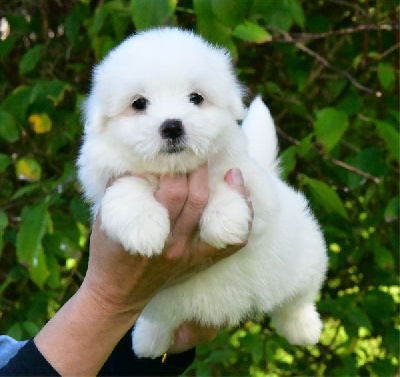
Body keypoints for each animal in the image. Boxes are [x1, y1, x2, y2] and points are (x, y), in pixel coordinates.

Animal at [77, 27, 328, 356]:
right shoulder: (107, 180)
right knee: (160, 322)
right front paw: (144, 227)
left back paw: (304, 327)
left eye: (196, 98)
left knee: (297, 300)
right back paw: (148, 339)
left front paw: (225, 221)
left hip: (304, 260)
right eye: (139, 104)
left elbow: (224, 183)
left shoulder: (259, 194)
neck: (176, 171)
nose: (172, 126)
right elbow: (127, 188)